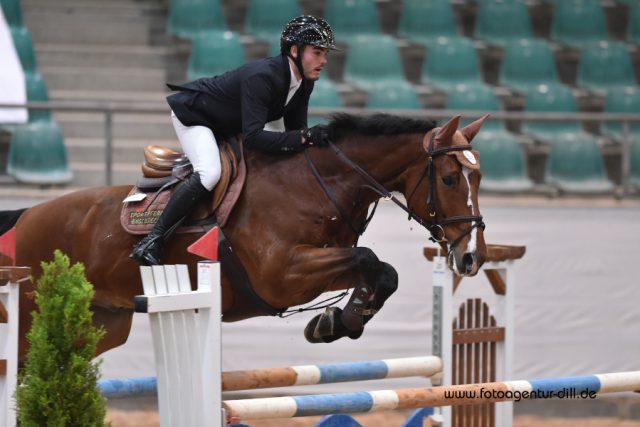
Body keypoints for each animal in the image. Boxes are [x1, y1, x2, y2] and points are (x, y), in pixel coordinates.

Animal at [1, 113, 484, 362]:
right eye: (448, 178)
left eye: (478, 178)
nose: (471, 258)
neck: (317, 184)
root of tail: (27, 215)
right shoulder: (283, 275)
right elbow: (367, 258)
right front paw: (336, 322)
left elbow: (384, 272)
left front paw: (337, 321)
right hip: (30, 318)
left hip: (101, 325)